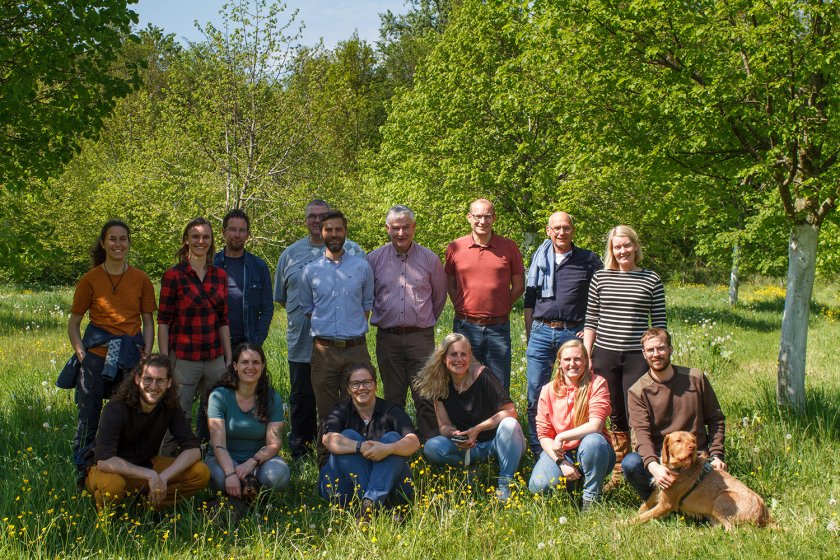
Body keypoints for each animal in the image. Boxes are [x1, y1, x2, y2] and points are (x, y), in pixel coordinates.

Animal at [632, 428, 772, 528]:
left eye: (693, 441)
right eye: (678, 441)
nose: (693, 447)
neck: (680, 468)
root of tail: (765, 515)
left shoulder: (666, 504)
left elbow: (642, 517)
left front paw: (626, 524)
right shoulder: (660, 489)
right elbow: (645, 506)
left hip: (722, 498)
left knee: (733, 531)